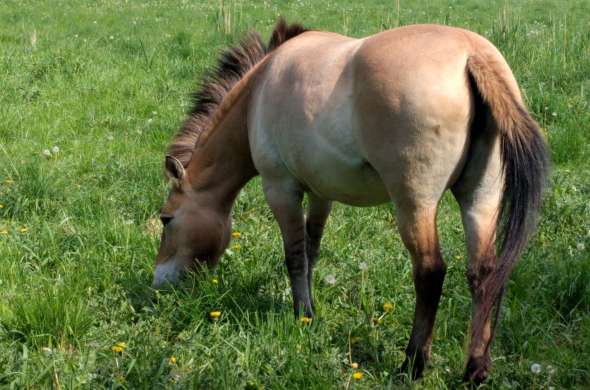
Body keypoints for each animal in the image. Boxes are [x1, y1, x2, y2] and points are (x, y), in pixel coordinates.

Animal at [151, 19, 552, 382]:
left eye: (166, 219)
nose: (159, 283)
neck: (260, 89)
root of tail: (472, 53)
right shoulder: (320, 193)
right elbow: (311, 252)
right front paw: (309, 310)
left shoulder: (280, 188)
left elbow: (294, 256)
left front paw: (302, 314)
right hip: (480, 198)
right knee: (484, 272)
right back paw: (475, 368)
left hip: (414, 203)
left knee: (430, 271)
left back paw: (412, 364)